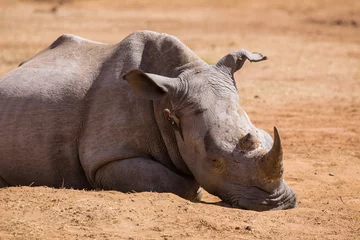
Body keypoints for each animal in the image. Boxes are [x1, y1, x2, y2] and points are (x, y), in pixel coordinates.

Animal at [0, 31, 296, 211]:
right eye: (213, 160)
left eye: (265, 136)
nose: (280, 203)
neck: (167, 101)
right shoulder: (107, 159)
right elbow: (180, 182)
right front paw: (197, 193)